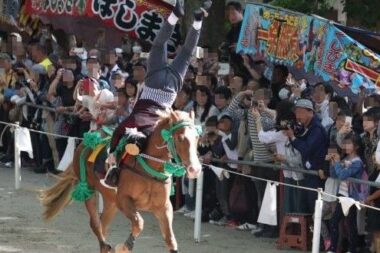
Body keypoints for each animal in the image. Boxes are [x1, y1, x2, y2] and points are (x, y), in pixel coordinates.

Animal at [39, 110, 202, 253]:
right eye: (180, 138)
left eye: (196, 137)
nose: (195, 169)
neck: (148, 168)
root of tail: (86, 141)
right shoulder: (124, 200)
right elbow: (139, 223)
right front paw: (124, 247)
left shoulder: (164, 207)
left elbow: (170, 240)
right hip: (88, 189)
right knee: (95, 224)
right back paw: (105, 245)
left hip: (111, 201)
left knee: (103, 224)